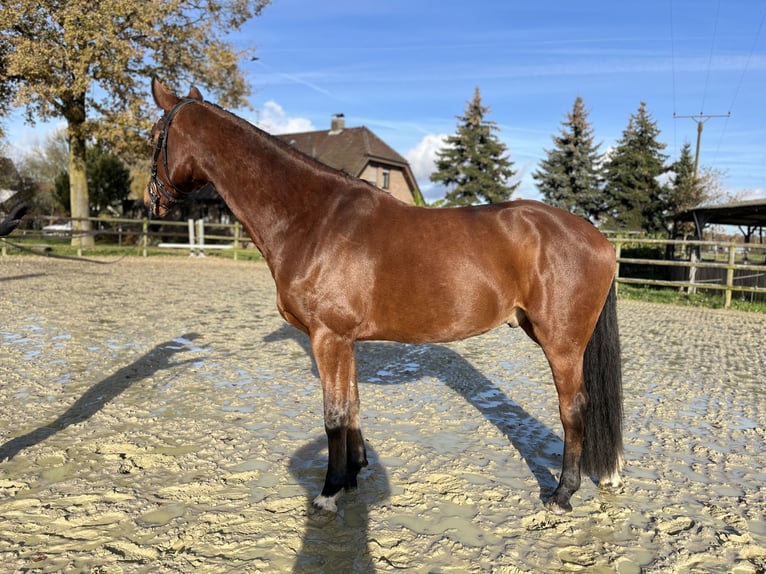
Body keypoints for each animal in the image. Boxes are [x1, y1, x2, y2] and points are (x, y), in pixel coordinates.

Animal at [144, 79, 624, 516]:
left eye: (153, 136)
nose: (153, 203)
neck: (313, 218)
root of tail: (598, 237)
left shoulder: (328, 337)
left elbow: (333, 416)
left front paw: (329, 492)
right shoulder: (345, 341)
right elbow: (352, 407)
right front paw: (354, 474)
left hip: (561, 343)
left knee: (573, 409)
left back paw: (562, 495)